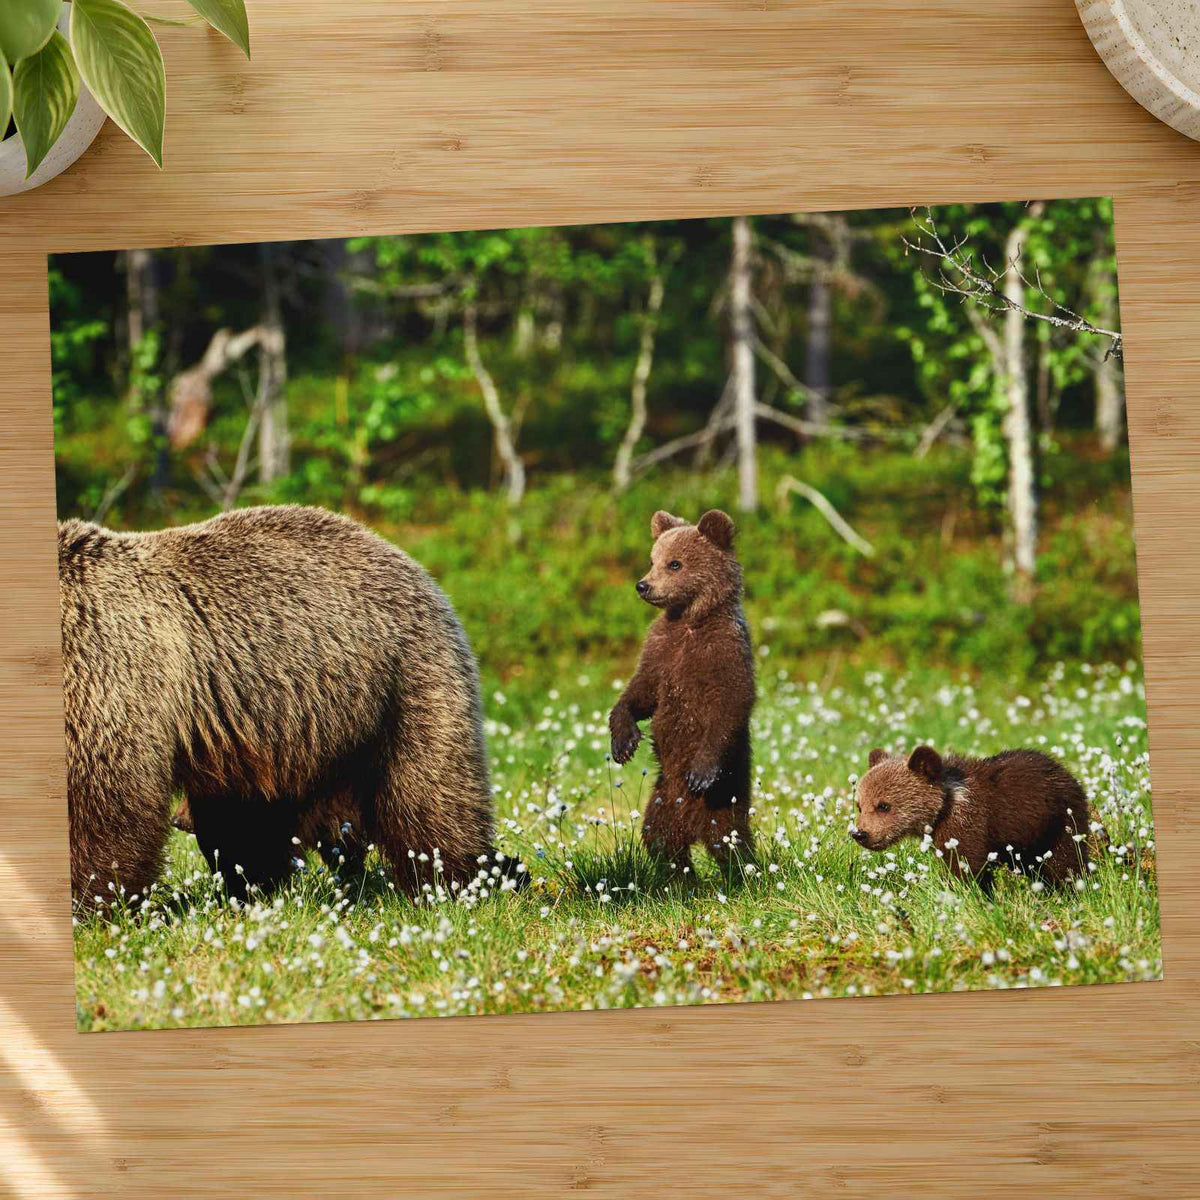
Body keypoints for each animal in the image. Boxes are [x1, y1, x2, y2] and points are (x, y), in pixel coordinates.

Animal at [59, 504, 509, 906]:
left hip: (404, 680)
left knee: (428, 799)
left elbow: (105, 801)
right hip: (277, 731)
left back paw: (463, 881)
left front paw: (94, 903)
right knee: (248, 824)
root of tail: (413, 565)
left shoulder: (107, 667)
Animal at [609, 509, 756, 876]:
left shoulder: (723, 652)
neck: (690, 620)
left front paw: (701, 772)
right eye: (653, 559)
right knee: (660, 839)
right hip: (661, 800)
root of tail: (694, 827)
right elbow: (641, 692)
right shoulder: (661, 650)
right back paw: (681, 877)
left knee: (731, 843)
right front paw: (624, 742)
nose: (643, 585)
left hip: (725, 800)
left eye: (675, 563)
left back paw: (742, 875)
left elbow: (730, 703)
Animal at [851, 745, 1091, 890]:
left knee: (1065, 861)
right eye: (860, 805)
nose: (860, 833)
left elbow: (966, 867)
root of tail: (1066, 772)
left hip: (1059, 823)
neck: (944, 807)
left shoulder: (967, 826)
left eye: (883, 805)